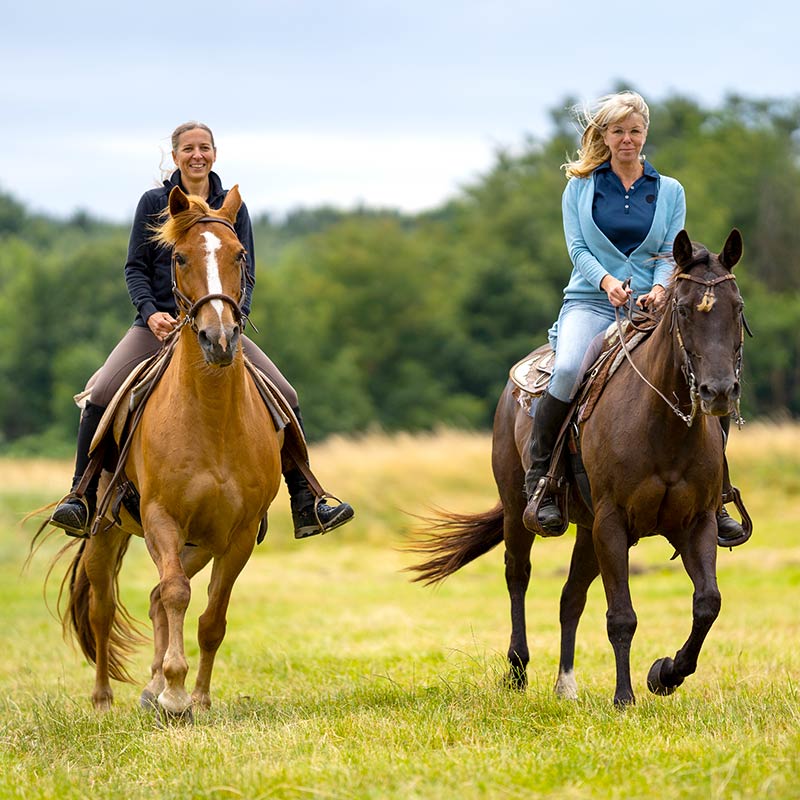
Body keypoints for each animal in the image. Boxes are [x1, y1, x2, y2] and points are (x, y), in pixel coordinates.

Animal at [410, 228, 748, 704]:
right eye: (683, 310)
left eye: (737, 308)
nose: (718, 391)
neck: (662, 428)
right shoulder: (612, 522)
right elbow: (622, 615)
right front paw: (624, 697)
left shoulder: (695, 522)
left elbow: (707, 604)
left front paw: (665, 673)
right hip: (520, 511)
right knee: (518, 576)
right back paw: (517, 670)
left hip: (587, 531)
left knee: (570, 597)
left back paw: (565, 684)